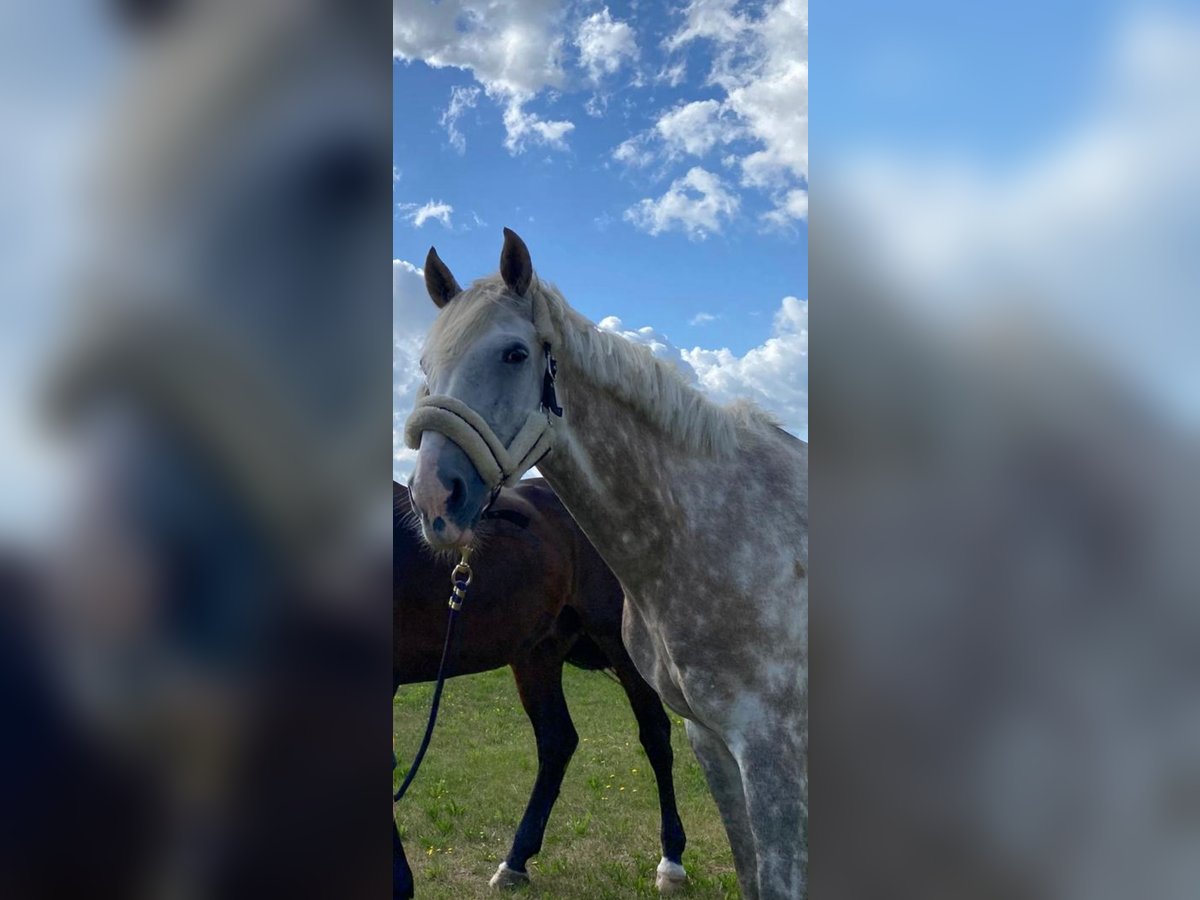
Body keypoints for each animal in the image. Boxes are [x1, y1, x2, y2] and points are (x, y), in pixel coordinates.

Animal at [393, 480, 689, 892]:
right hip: (537, 653)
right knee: (557, 741)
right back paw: (515, 860)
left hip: (620, 642)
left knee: (655, 735)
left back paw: (671, 861)